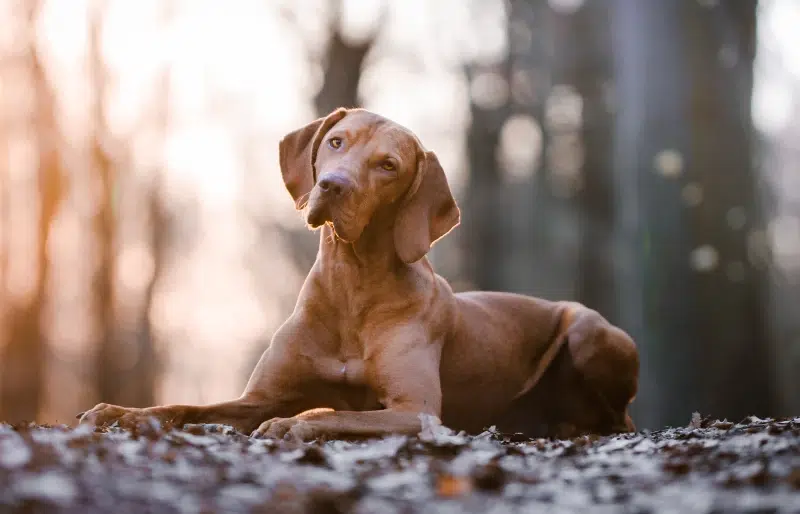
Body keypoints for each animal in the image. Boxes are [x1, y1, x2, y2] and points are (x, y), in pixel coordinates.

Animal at [78, 106, 640, 438]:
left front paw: (292, 424)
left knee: (618, 418)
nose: (332, 186)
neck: (351, 285)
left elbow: (334, 411)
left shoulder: (416, 409)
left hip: (591, 331)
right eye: (337, 142)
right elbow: (185, 408)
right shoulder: (256, 397)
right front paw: (119, 413)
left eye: (388, 165)